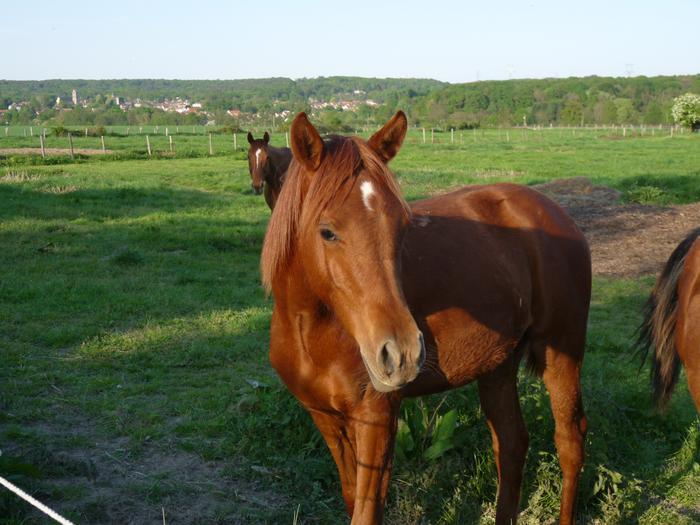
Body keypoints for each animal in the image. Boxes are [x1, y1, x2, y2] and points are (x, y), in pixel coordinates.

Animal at [262, 111, 592, 524]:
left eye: (402, 227)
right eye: (327, 232)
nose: (401, 353)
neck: (312, 330)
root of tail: (557, 213)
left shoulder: (377, 415)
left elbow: (366, 511)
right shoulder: (324, 418)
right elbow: (353, 499)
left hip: (561, 354)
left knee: (569, 443)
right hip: (498, 365)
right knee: (512, 443)